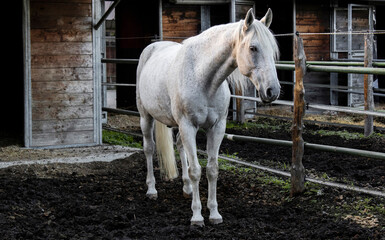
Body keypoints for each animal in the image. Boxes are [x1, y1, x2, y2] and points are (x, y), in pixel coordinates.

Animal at [136, 8, 280, 226]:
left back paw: (187, 189)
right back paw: (152, 190)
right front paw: (196, 216)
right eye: (253, 48)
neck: (202, 76)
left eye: (272, 50)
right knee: (149, 149)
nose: (273, 91)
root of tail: (153, 47)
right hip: (146, 117)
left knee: (179, 146)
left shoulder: (216, 128)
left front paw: (214, 213)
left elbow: (212, 170)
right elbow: (196, 170)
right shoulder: (188, 126)